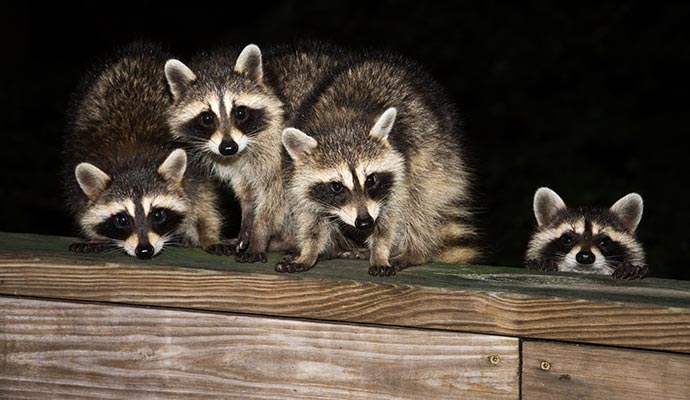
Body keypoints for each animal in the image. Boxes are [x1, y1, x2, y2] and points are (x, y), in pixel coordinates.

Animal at [63, 42, 225, 259]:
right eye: (122, 220)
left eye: (158, 214)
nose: (145, 250)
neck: (133, 159)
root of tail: (140, 51)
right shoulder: (77, 164)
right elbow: (84, 209)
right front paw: (95, 236)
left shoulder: (194, 170)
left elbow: (203, 203)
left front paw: (208, 235)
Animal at [164, 42, 348, 262]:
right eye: (207, 118)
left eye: (240, 112)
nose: (228, 147)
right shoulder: (235, 164)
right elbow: (246, 192)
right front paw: (247, 225)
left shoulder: (280, 149)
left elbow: (276, 195)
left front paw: (259, 235)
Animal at [279, 52, 481, 276]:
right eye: (336, 186)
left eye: (371, 179)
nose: (364, 222)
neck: (341, 124)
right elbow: (311, 216)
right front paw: (309, 251)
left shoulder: (401, 172)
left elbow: (390, 217)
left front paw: (380, 251)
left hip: (438, 157)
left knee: (422, 203)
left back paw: (414, 251)